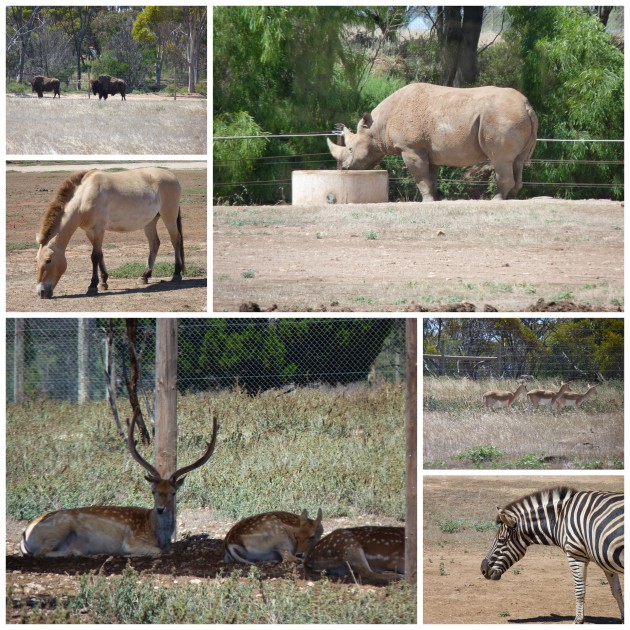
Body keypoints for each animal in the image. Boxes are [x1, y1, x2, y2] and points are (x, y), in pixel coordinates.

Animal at [20, 418, 220, 560]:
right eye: (153, 491)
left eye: (173, 492)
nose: (160, 509)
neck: (157, 533)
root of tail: (24, 534)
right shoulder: (132, 541)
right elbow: (156, 551)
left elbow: (167, 551)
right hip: (59, 526)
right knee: (41, 553)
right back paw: (79, 551)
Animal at [34, 167, 184, 298]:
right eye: (37, 260)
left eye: (48, 260)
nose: (41, 292)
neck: (84, 196)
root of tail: (172, 175)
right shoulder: (89, 231)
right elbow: (100, 254)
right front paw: (103, 282)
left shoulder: (99, 229)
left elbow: (94, 256)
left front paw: (92, 286)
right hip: (150, 222)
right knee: (154, 244)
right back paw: (144, 276)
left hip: (169, 216)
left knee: (175, 240)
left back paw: (176, 274)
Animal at [482, 486, 624, 624]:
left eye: (501, 540)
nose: (483, 569)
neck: (560, 519)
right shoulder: (605, 560)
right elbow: (616, 591)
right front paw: (623, 619)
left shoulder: (575, 555)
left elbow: (579, 590)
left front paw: (578, 620)